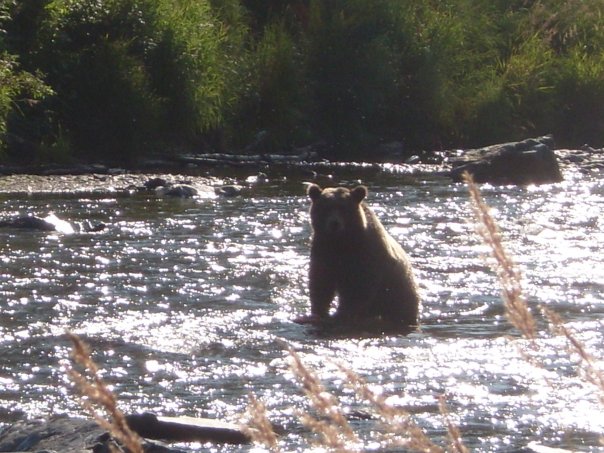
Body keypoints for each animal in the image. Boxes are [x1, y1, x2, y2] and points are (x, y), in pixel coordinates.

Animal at [294, 182, 420, 326]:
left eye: (343, 208)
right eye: (326, 207)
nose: (334, 223)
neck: (341, 242)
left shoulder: (366, 254)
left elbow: (359, 288)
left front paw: (341, 314)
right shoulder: (323, 249)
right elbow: (321, 281)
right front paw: (316, 314)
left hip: (399, 294)